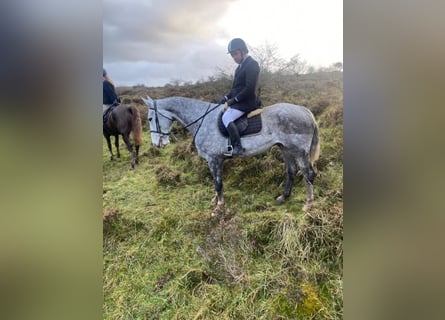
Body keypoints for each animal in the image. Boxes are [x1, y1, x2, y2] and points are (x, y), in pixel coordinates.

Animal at [142, 96, 320, 211]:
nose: (157, 144)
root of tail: (304, 110)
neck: (202, 120)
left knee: (308, 174)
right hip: (286, 148)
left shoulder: (213, 159)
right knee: (291, 171)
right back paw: (283, 197)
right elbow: (216, 181)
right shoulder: (215, 160)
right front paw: (215, 200)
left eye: (150, 118)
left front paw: (219, 207)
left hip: (299, 150)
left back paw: (308, 204)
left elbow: (218, 183)